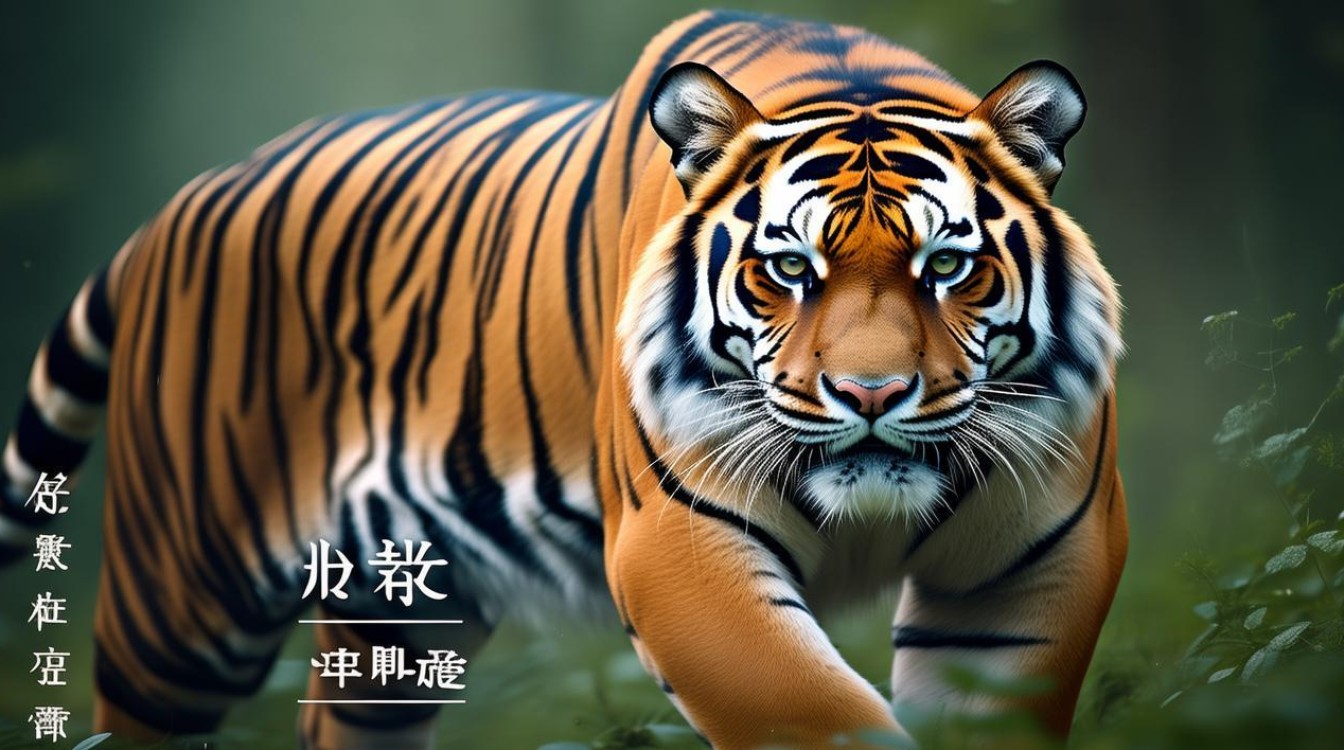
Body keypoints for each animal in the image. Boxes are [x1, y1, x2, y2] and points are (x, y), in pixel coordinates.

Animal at [0, 10, 1126, 750]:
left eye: (949, 265)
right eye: (788, 269)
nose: (874, 397)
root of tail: (181, 203)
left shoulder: (1032, 560)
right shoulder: (677, 543)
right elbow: (818, 714)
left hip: (399, 611)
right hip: (180, 607)